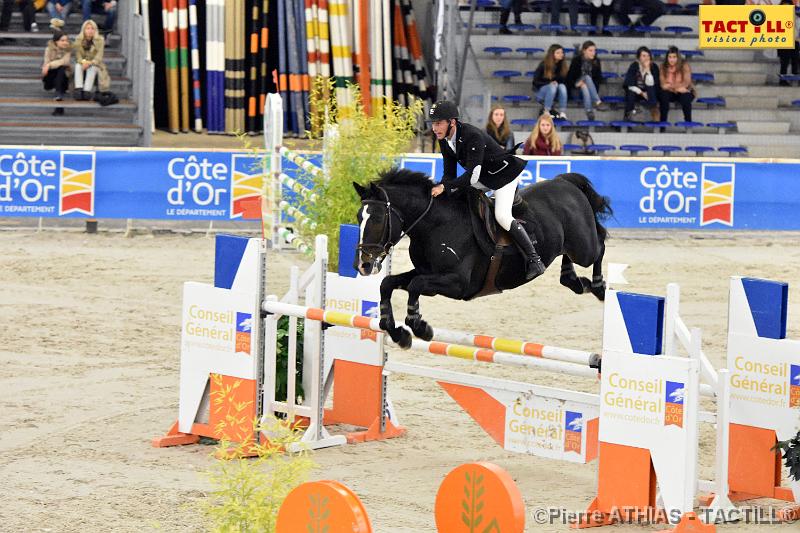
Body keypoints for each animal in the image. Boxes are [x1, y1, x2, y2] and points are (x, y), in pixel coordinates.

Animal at [352, 168, 612, 348]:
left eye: (377, 219)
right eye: (358, 217)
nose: (363, 265)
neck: (436, 225)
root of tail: (565, 182)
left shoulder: (458, 284)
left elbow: (415, 286)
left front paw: (420, 327)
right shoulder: (426, 272)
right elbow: (388, 284)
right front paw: (397, 332)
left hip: (583, 247)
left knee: (599, 247)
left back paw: (598, 287)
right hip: (569, 245)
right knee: (573, 259)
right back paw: (575, 281)